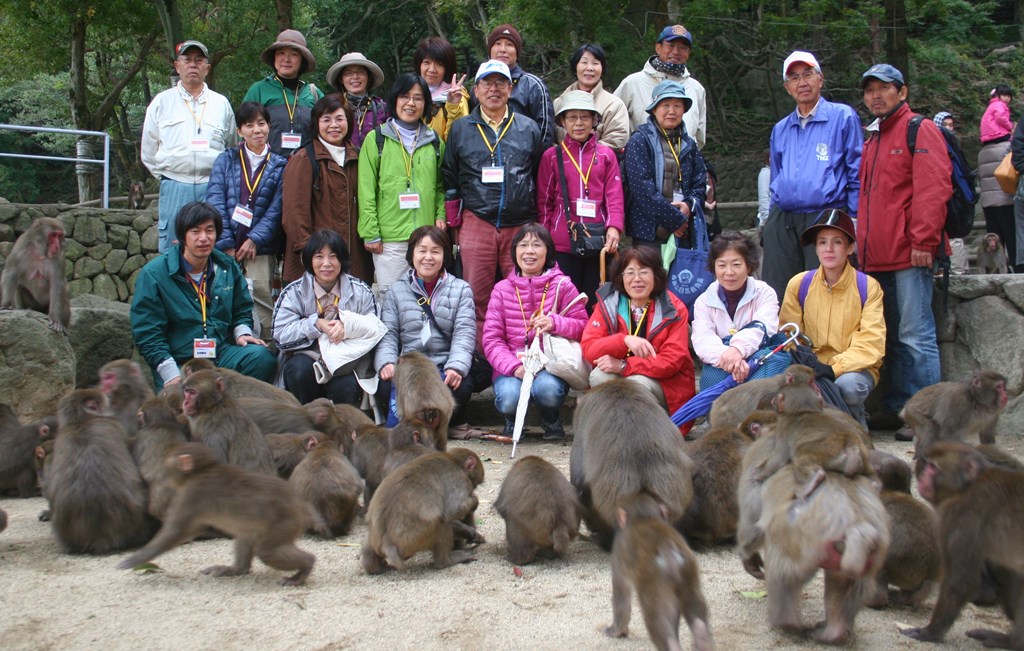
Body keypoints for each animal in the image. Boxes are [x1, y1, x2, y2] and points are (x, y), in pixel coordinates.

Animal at [117, 442, 315, 585]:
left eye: (167, 465)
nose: (161, 473)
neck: (203, 470)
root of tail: (300, 504)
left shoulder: (192, 494)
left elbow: (176, 532)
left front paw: (136, 559)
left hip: (286, 521)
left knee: (267, 551)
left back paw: (306, 566)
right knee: (246, 536)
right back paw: (238, 569)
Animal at [602, 493, 716, 651]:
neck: (644, 517)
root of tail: (666, 546)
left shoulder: (618, 552)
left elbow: (621, 598)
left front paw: (616, 631)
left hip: (653, 581)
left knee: (656, 619)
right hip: (688, 571)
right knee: (696, 612)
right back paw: (702, 636)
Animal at [905, 442, 1024, 646]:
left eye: (933, 467)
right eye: (928, 465)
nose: (921, 477)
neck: (967, 486)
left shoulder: (961, 516)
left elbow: (961, 580)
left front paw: (929, 632)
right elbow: (1009, 572)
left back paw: (1010, 642)